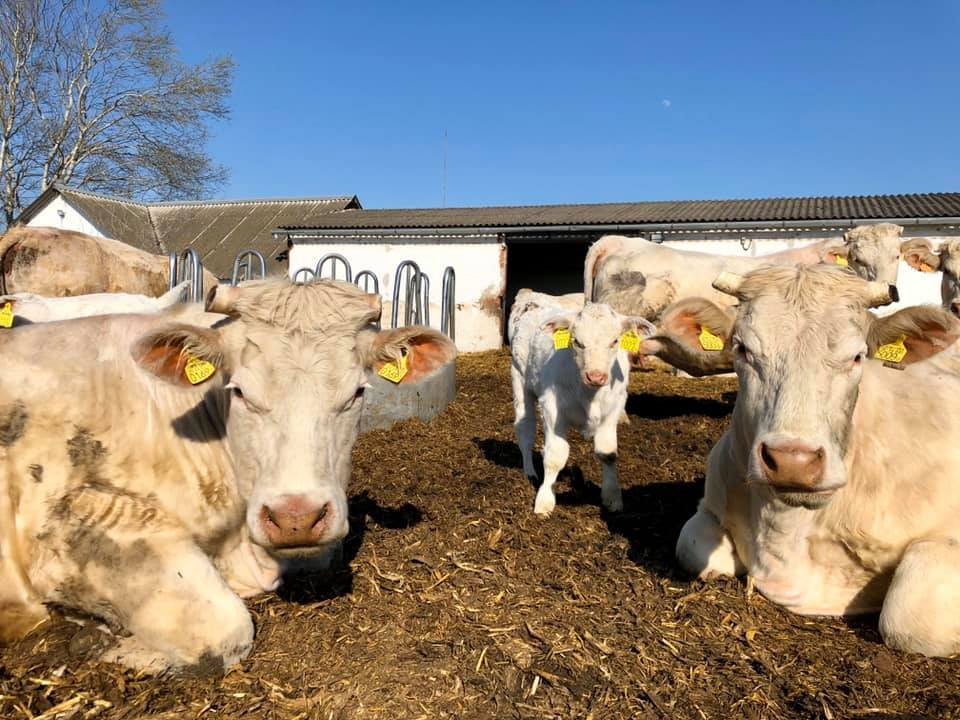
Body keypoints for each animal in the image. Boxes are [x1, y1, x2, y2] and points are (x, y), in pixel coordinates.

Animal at [0, 278, 458, 672]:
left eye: (358, 392)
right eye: (239, 392)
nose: (295, 518)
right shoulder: (74, 521)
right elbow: (225, 629)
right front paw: (103, 640)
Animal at [510, 296, 660, 516]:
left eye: (615, 341)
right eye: (577, 342)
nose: (596, 376)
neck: (590, 395)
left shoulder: (614, 408)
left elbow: (608, 453)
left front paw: (612, 497)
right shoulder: (552, 408)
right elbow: (555, 456)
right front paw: (544, 500)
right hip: (520, 379)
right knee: (525, 428)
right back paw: (530, 471)